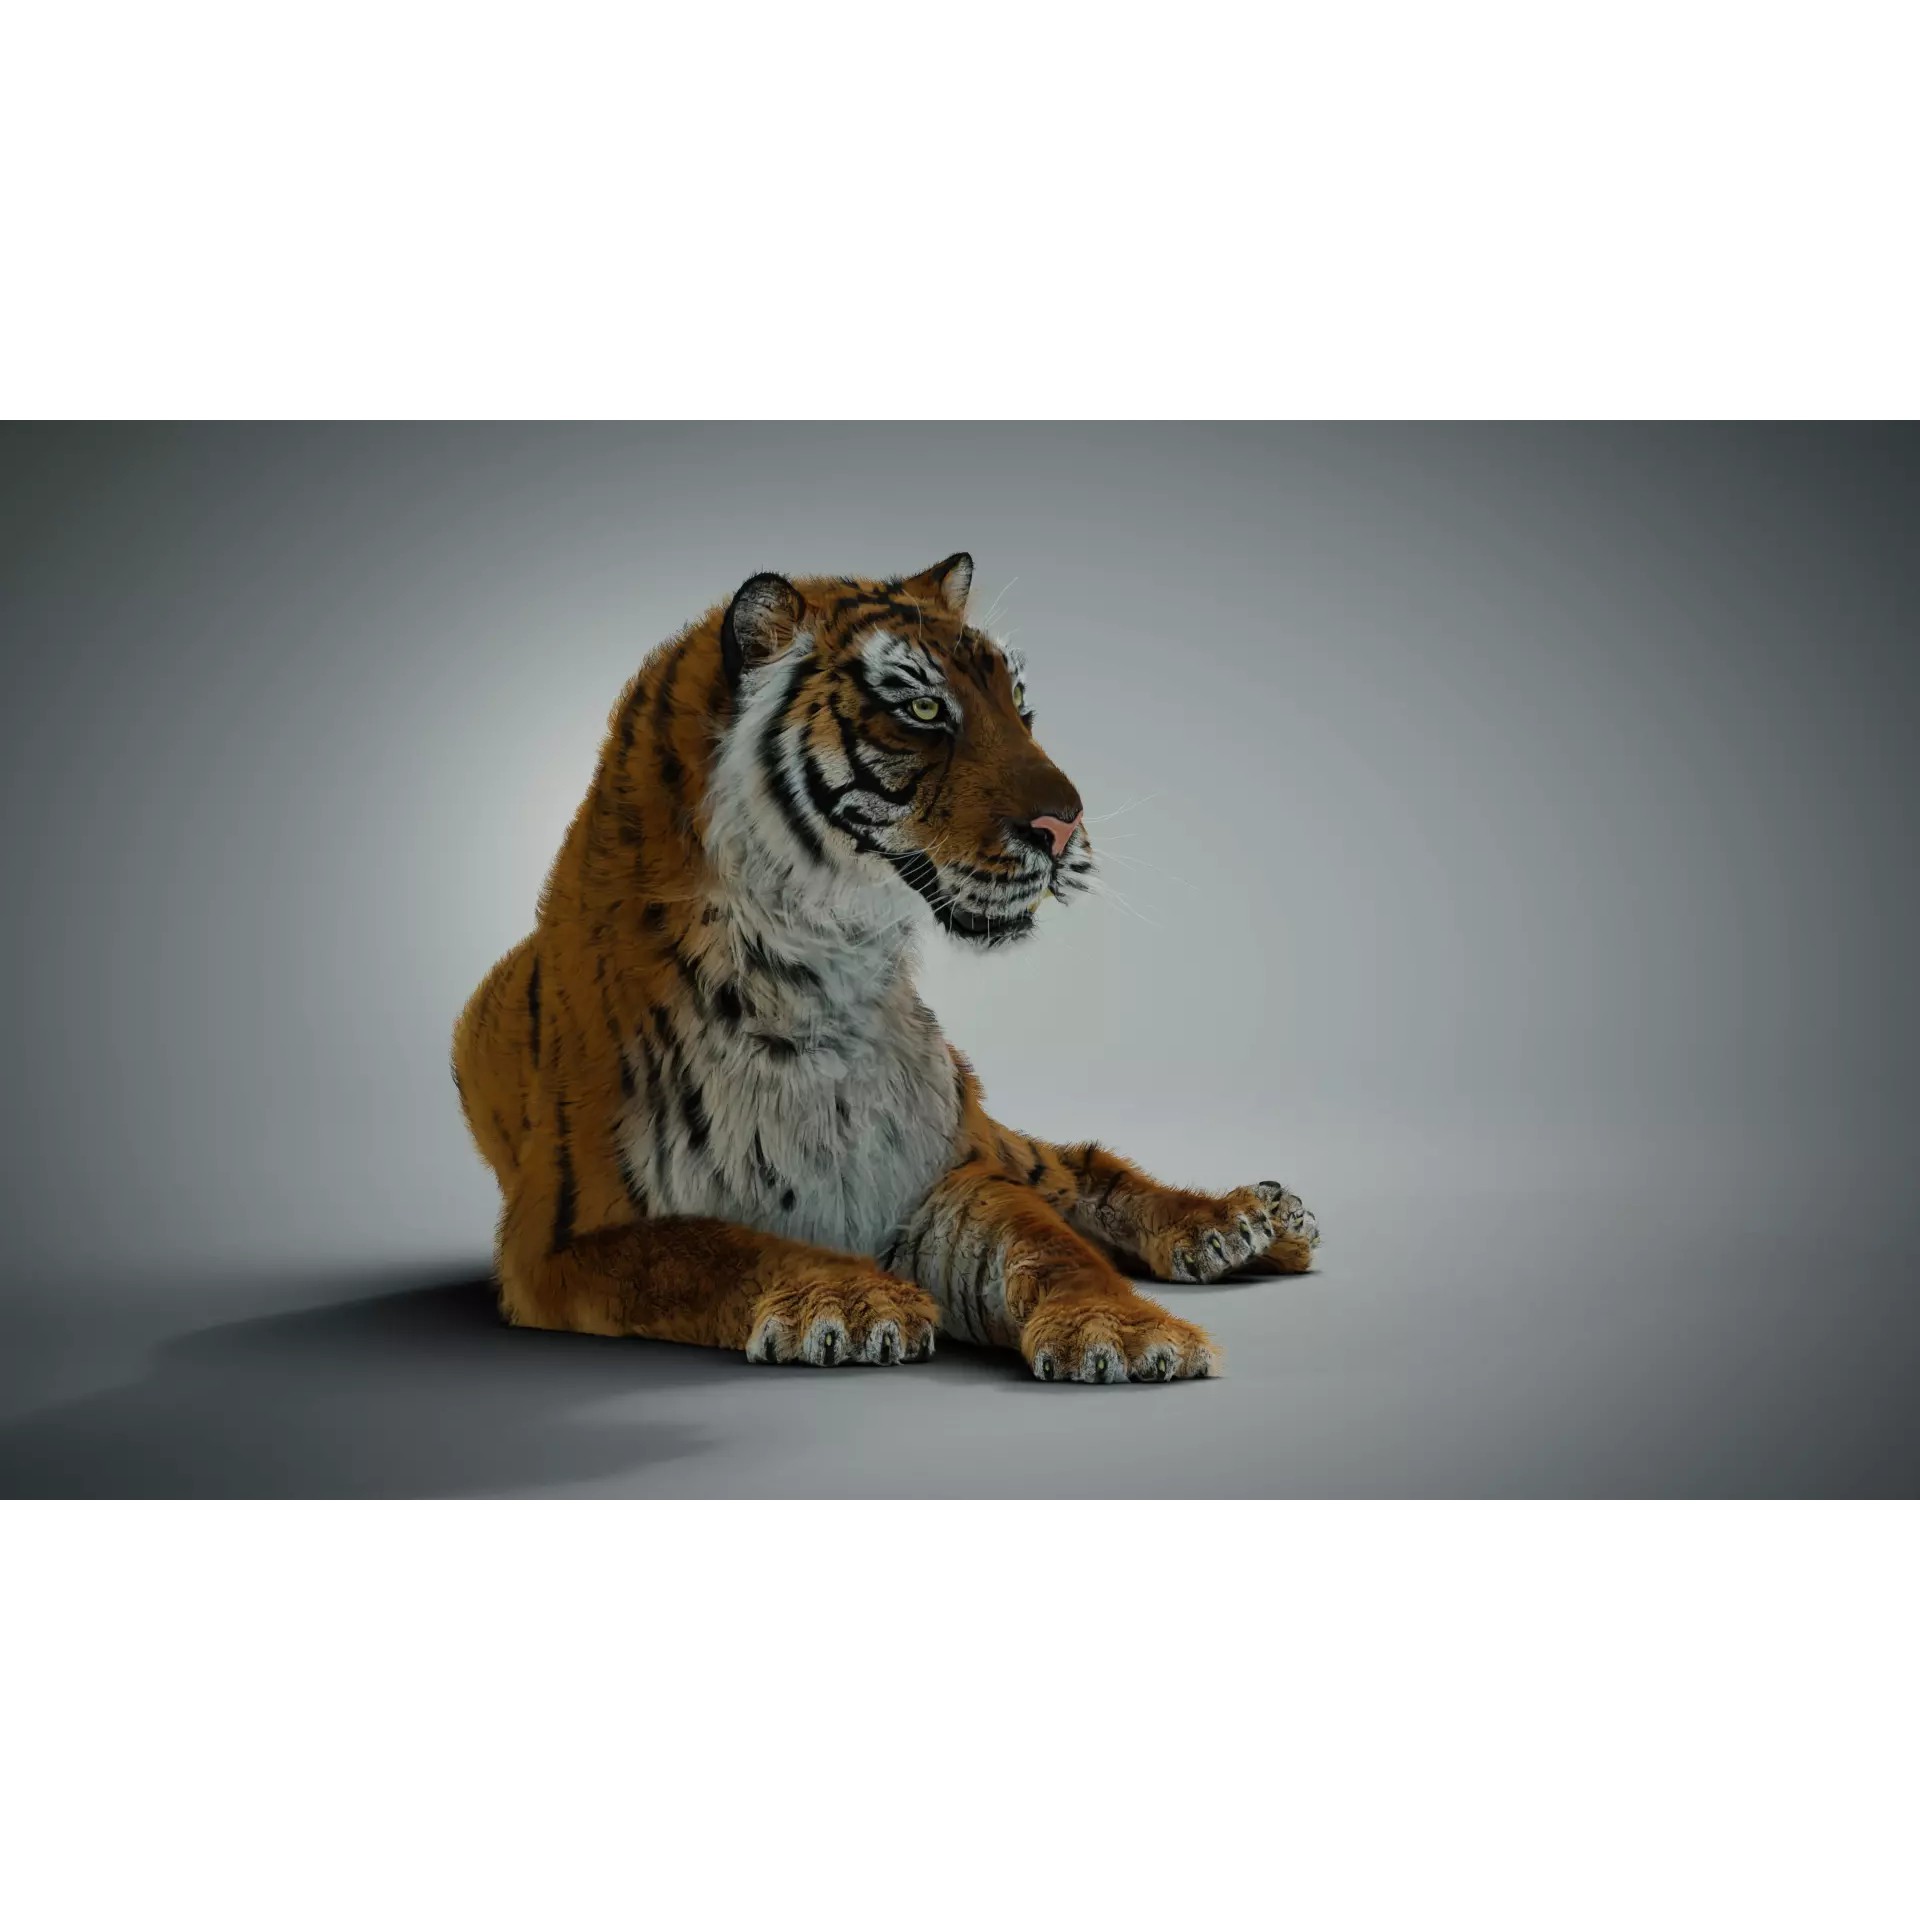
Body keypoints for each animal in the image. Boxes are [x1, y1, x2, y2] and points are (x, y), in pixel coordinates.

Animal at [452, 553, 1320, 1384]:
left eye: (1019, 703)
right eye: (925, 710)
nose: (1065, 827)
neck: (820, 976)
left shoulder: (943, 1171)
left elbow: (1047, 1247)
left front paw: (1123, 1332)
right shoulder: (568, 1237)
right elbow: (718, 1248)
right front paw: (849, 1301)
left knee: (1074, 1167)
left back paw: (1251, 1224)